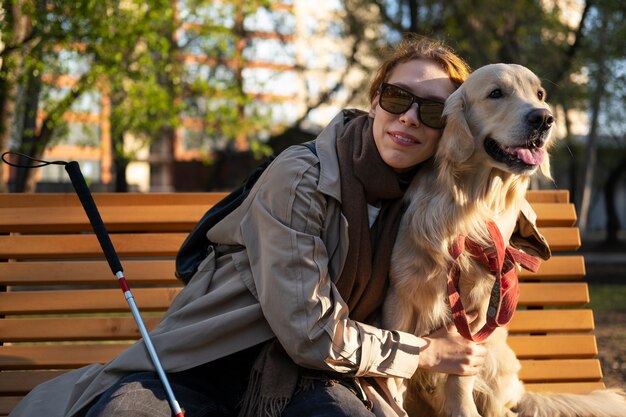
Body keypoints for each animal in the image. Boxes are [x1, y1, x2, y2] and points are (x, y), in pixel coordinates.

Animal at [380, 64, 624, 416]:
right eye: (496, 93)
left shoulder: (477, 311)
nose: (544, 118)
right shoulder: (400, 296)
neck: (470, 207)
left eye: (540, 94)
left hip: (498, 359)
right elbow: (394, 374)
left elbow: (459, 377)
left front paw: (463, 410)